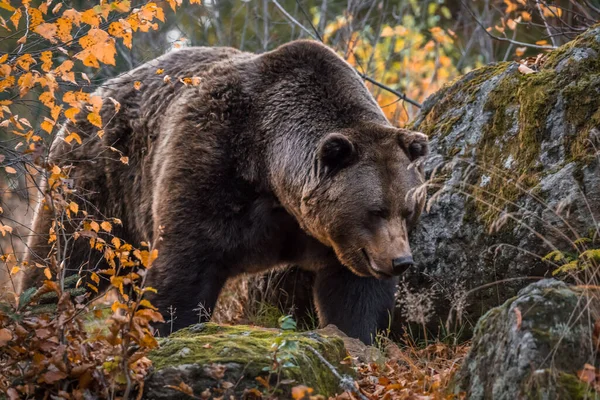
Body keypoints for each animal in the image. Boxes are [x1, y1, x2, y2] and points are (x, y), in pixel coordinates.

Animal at [18, 39, 428, 344]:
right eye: (375, 210)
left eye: (408, 209)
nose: (400, 261)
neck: (271, 168)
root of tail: (88, 100)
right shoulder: (211, 160)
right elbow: (183, 266)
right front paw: (166, 330)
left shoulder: (335, 242)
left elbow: (355, 294)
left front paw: (358, 334)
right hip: (97, 187)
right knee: (64, 259)